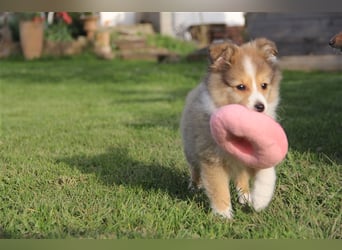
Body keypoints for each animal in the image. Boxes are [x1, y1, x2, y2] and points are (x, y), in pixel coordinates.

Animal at [180, 37, 282, 219]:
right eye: (240, 87)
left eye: (264, 85)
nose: (260, 107)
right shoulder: (211, 159)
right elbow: (219, 188)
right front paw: (224, 215)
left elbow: (267, 171)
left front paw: (260, 199)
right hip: (191, 149)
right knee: (195, 169)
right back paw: (194, 187)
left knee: (241, 177)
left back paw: (246, 197)